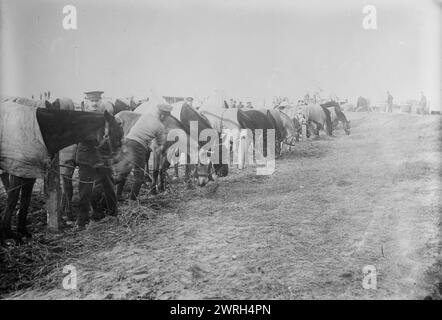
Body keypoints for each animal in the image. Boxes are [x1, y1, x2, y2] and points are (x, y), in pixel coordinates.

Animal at [0, 101, 122, 239]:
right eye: (116, 135)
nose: (117, 161)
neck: (43, 130)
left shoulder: (29, 171)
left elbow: (25, 200)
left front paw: (23, 231)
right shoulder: (17, 168)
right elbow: (12, 199)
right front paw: (8, 232)